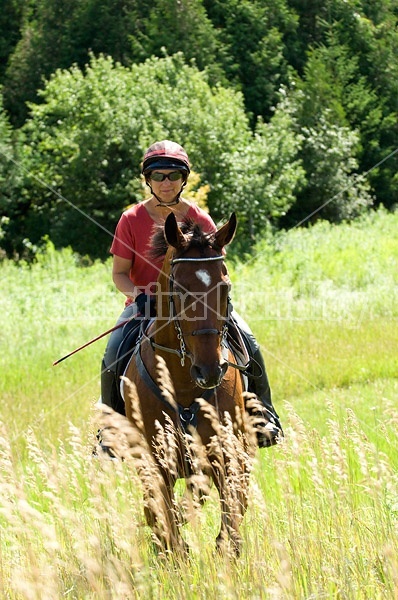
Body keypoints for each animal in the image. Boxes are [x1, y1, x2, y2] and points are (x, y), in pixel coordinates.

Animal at [122, 213, 255, 556]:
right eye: (179, 289)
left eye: (225, 286)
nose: (210, 370)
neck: (182, 384)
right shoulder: (157, 466)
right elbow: (168, 529)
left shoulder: (229, 457)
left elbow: (230, 525)